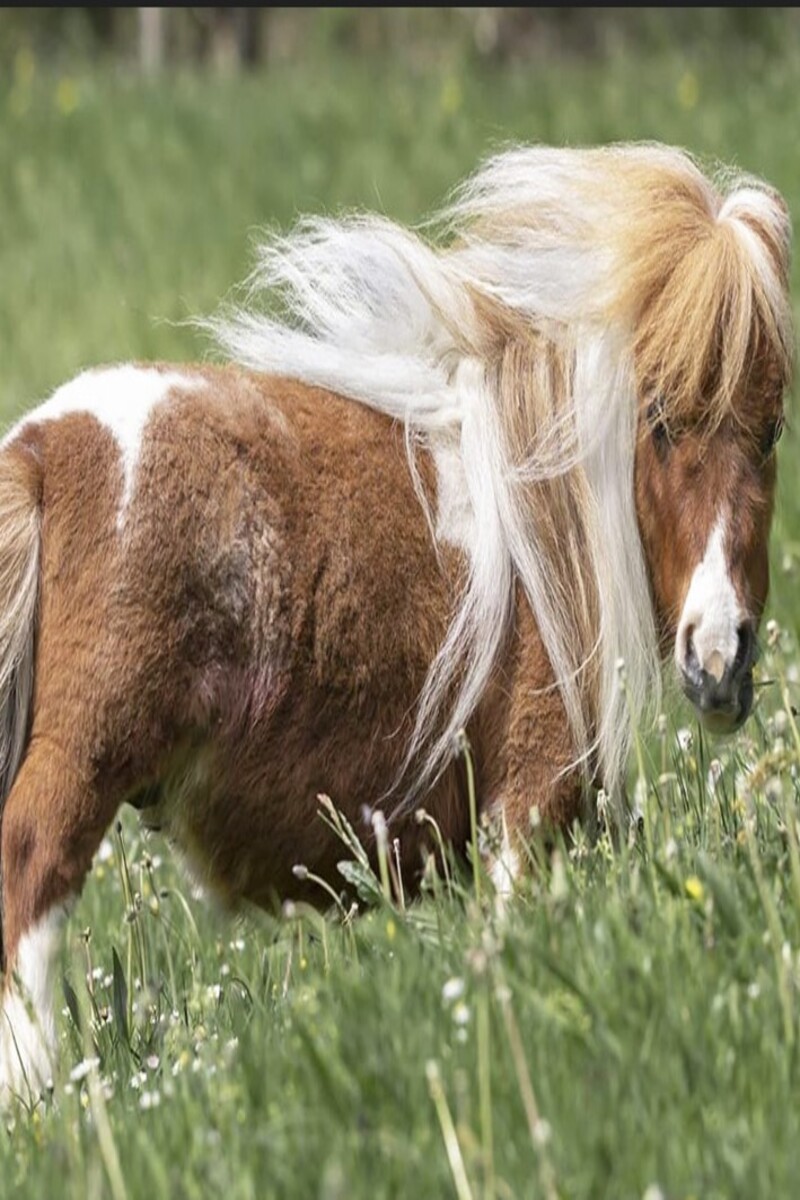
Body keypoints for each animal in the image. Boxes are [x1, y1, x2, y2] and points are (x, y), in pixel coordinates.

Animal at [0, 143, 791, 1103]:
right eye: (662, 421)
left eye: (772, 430)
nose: (720, 657)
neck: (543, 521)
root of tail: (42, 447)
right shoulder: (527, 802)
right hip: (82, 761)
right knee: (30, 880)